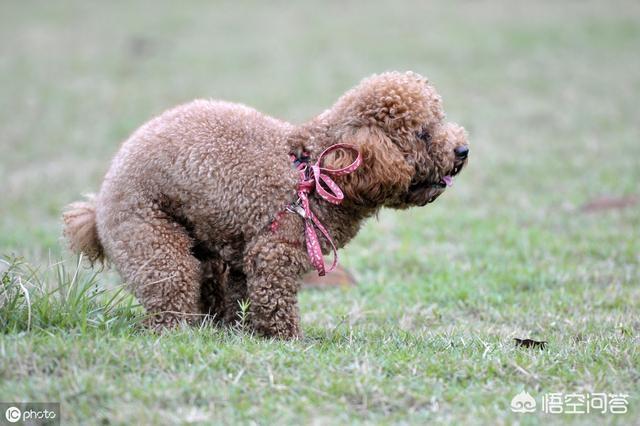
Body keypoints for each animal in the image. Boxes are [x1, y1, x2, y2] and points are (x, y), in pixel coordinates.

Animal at [62, 72, 468, 340]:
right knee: (171, 284)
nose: (462, 150)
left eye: (440, 121)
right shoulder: (276, 250)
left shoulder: (245, 250)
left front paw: (244, 332)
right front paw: (285, 338)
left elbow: (243, 294)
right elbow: (275, 300)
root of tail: (98, 205)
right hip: (146, 230)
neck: (316, 167)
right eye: (423, 133)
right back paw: (173, 330)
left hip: (202, 242)